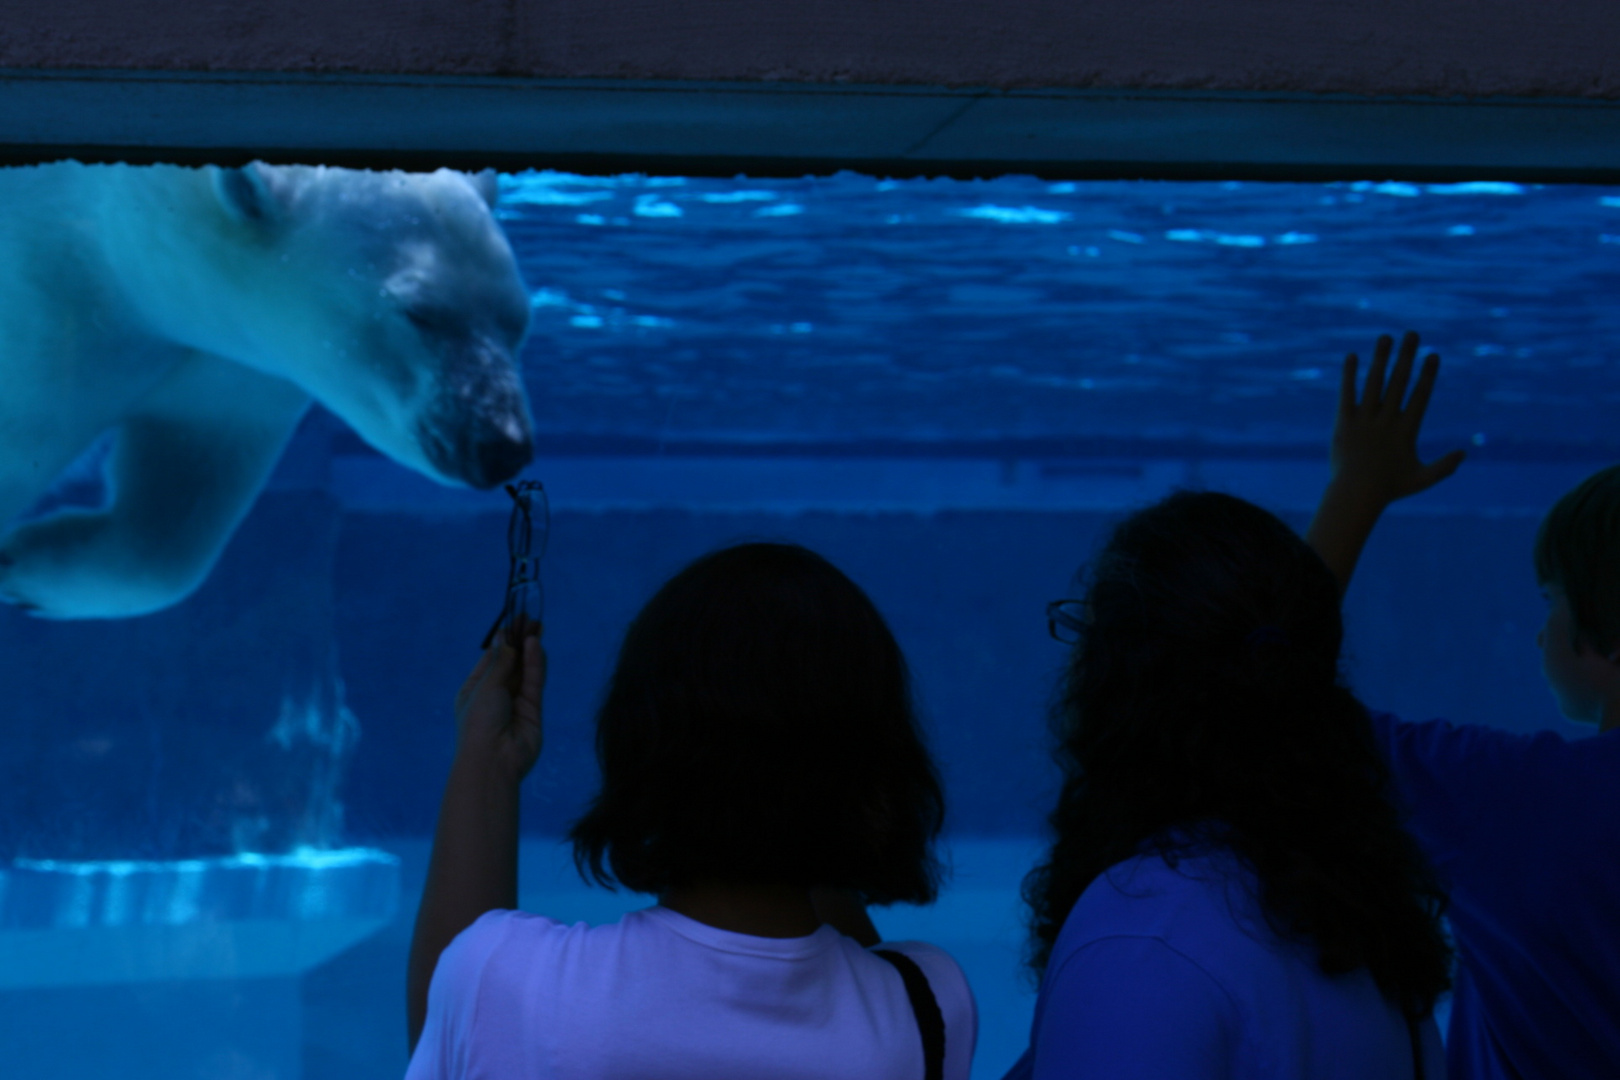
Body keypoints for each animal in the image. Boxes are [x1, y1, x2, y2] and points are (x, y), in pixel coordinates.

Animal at [0, 159, 534, 615]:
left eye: (517, 321)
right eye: (420, 313)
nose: (501, 445)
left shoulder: (236, 371)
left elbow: (176, 510)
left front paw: (22, 571)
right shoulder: (49, 307)